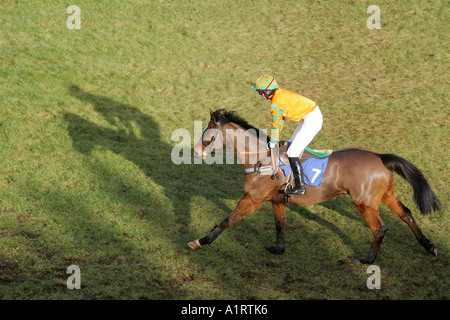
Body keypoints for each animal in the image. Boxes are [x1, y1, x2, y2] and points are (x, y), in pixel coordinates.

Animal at [188, 109, 442, 264]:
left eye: (207, 137)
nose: (195, 152)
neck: (261, 158)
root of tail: (380, 156)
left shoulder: (252, 198)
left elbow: (226, 220)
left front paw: (200, 241)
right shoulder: (277, 200)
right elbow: (280, 225)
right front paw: (278, 249)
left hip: (364, 203)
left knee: (379, 229)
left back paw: (367, 259)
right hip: (386, 196)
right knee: (406, 214)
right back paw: (429, 246)